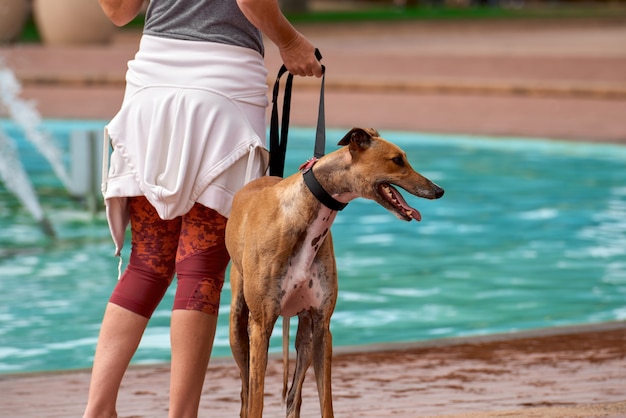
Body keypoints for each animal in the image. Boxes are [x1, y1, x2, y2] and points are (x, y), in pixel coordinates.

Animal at [224, 127, 438, 418]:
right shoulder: (260, 327)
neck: (303, 210)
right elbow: (256, 400)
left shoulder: (322, 326)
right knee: (246, 395)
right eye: (397, 160)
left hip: (305, 335)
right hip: (239, 326)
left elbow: (326, 402)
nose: (439, 190)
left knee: (293, 396)